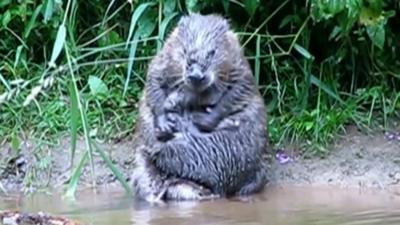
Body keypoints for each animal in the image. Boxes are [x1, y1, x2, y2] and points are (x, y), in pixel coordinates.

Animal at [131, 12, 268, 202]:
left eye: (212, 52)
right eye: (185, 51)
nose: (196, 75)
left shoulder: (240, 66)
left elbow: (237, 92)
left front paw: (198, 119)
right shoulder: (163, 57)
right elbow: (153, 83)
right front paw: (166, 122)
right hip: (143, 168)